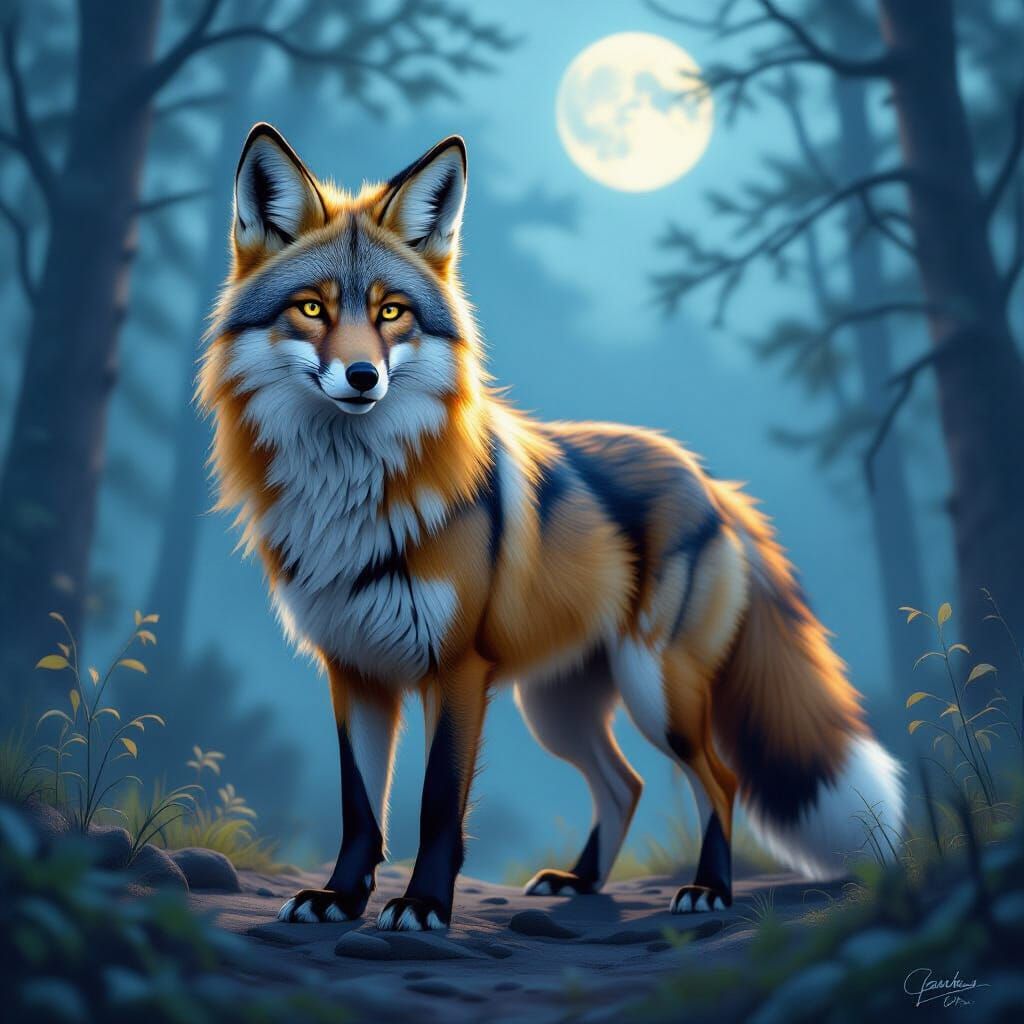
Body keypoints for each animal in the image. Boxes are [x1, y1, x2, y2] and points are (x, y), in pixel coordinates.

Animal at [198, 123, 905, 932]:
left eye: (391, 313)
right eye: (312, 310)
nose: (362, 379)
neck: (350, 503)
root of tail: (712, 482)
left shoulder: (457, 670)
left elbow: (436, 806)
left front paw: (424, 906)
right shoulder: (354, 670)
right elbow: (359, 810)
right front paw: (341, 899)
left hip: (658, 693)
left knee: (718, 780)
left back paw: (709, 891)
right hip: (558, 709)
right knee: (625, 784)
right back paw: (582, 882)